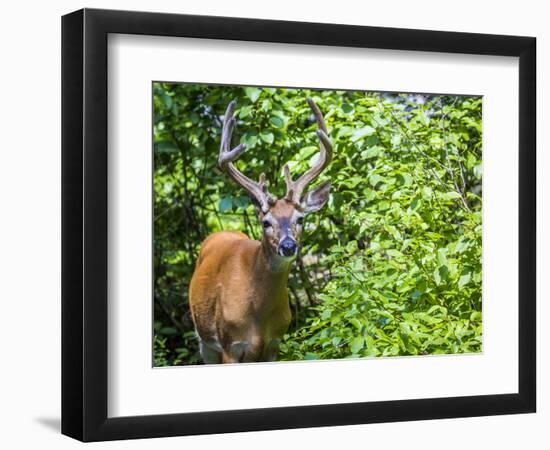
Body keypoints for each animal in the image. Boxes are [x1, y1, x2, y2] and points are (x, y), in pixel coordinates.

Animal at [190, 97, 334, 362]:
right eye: (266, 222)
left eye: (300, 219)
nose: (288, 246)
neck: (258, 316)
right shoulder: (229, 345)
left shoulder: (274, 345)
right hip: (204, 340)